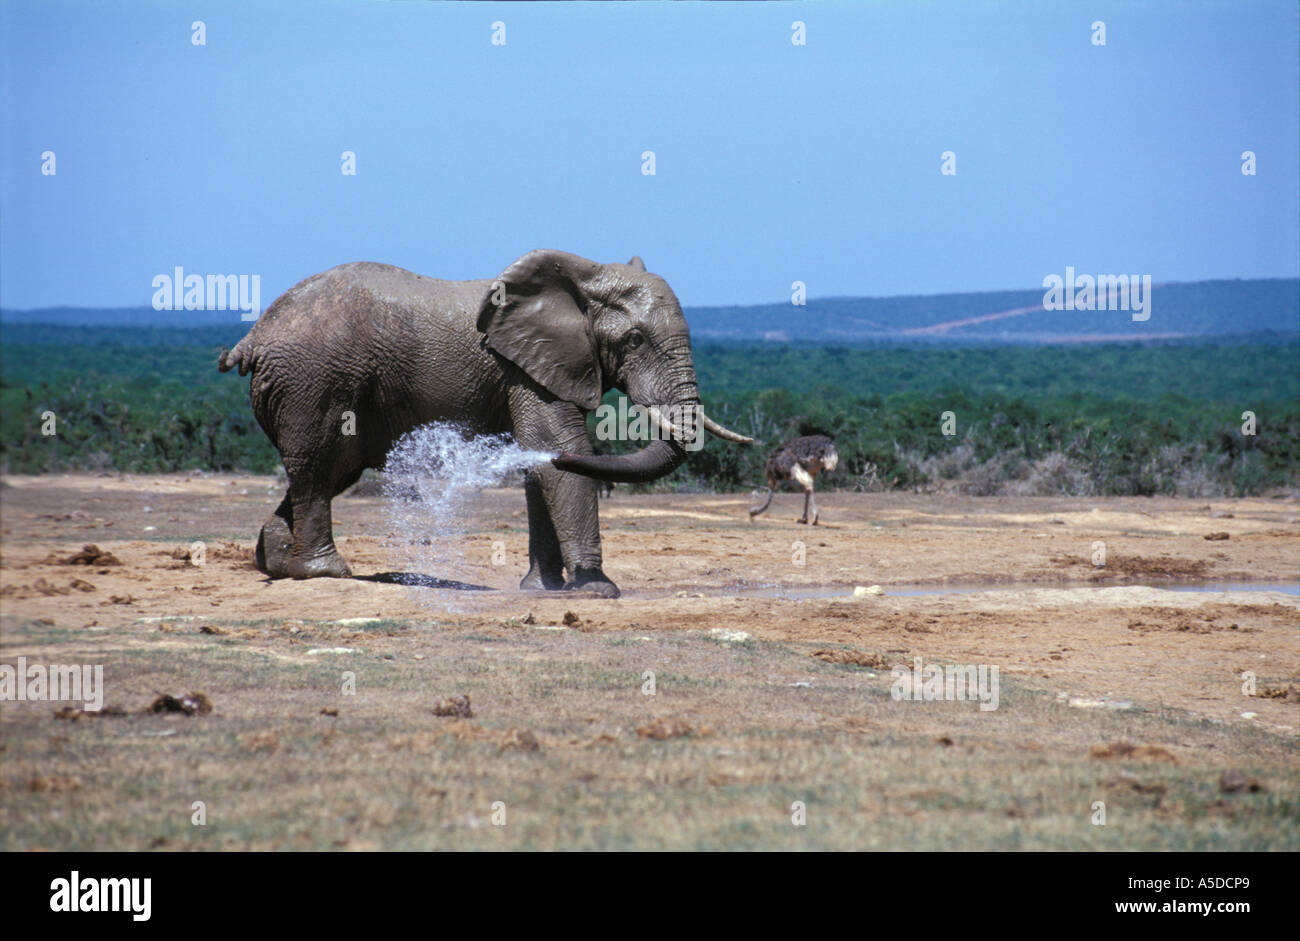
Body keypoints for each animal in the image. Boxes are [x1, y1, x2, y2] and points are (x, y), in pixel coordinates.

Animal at [217, 249, 751, 597]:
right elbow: (556, 443)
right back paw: (326, 573)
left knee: (329, 472)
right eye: (636, 340)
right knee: (319, 465)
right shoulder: (526, 368)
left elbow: (543, 462)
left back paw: (276, 565)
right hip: (313, 382)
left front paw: (543, 588)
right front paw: (598, 590)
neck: (583, 276)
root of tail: (254, 336)